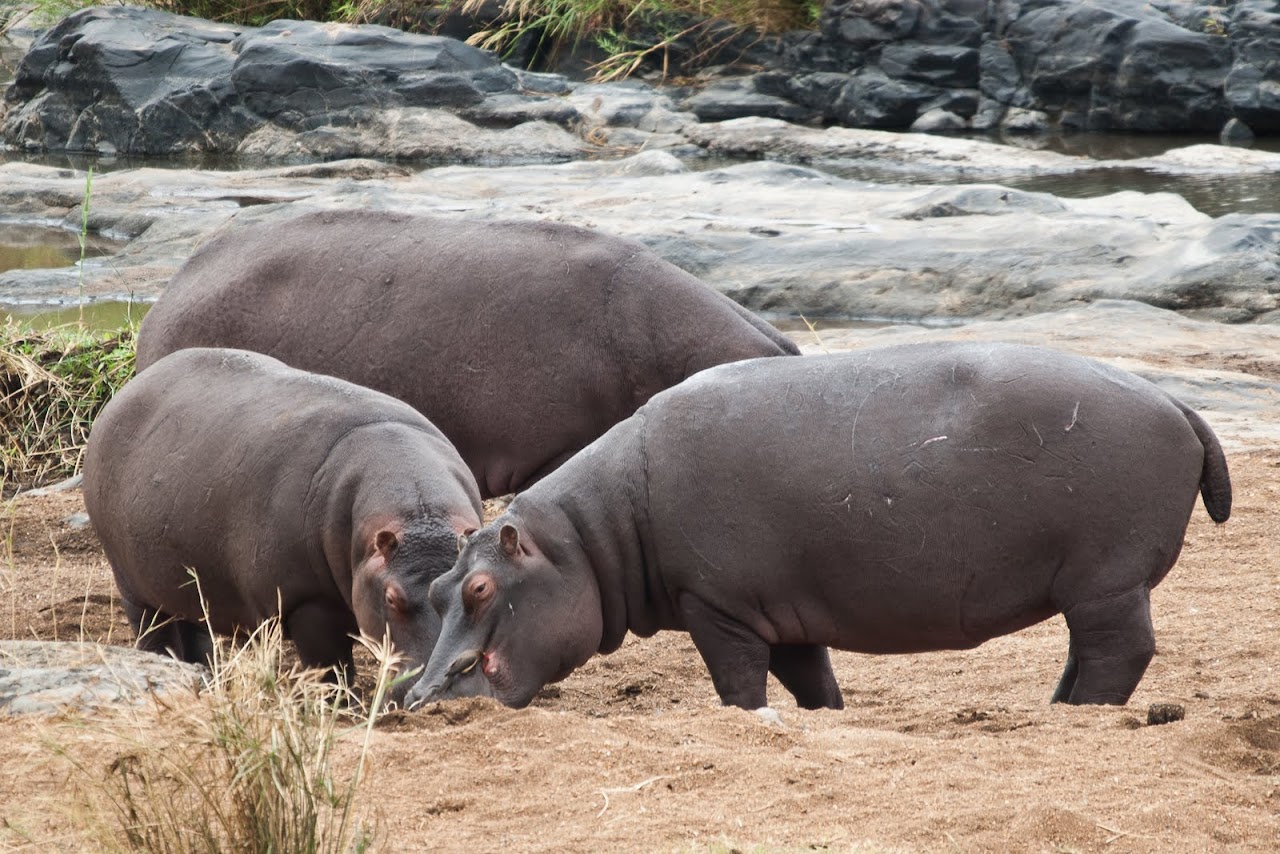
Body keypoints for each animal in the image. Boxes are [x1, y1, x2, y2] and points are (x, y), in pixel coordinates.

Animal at [83, 348, 484, 697]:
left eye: (470, 588)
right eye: (391, 597)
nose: (437, 692)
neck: (420, 514)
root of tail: (124, 393)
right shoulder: (306, 603)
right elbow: (331, 670)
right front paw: (339, 708)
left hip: (187, 583)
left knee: (197, 635)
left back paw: (207, 680)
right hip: (133, 587)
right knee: (155, 636)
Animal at [407, 341, 1231, 711]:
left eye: (480, 588)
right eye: (440, 586)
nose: (415, 701)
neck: (589, 537)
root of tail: (1176, 403)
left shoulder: (718, 606)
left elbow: (738, 680)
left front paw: (747, 717)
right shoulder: (784, 609)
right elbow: (812, 679)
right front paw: (825, 717)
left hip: (1107, 580)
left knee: (1119, 651)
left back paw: (1084, 713)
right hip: (1091, 585)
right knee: (1087, 653)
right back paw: (1058, 708)